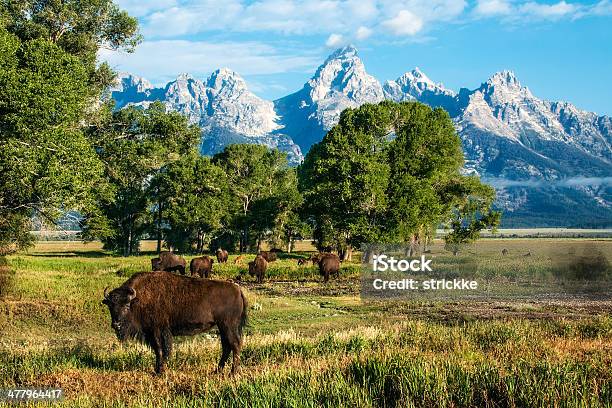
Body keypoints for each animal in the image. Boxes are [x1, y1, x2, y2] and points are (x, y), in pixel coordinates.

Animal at [102, 272, 246, 374]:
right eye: (110, 306)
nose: (116, 325)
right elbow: (158, 350)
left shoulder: (158, 331)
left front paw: (160, 371)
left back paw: (232, 373)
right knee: (227, 347)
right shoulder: (152, 333)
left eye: (127, 305)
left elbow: (162, 350)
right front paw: (157, 370)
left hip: (228, 326)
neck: (138, 299)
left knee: (235, 345)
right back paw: (217, 371)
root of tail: (238, 290)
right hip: (222, 327)